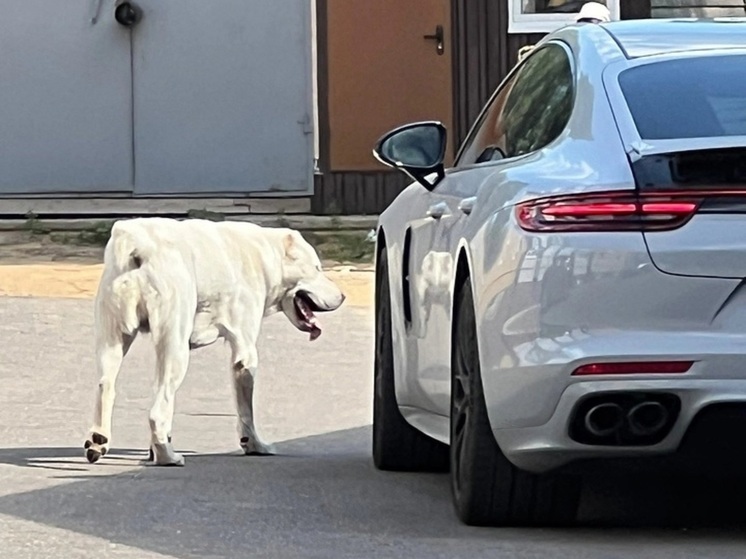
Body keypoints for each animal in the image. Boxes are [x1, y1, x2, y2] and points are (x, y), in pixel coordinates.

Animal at [85, 219, 346, 468]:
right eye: (317, 268)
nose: (343, 296)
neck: (264, 254)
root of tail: (138, 246)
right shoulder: (245, 351)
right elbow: (246, 412)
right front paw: (254, 445)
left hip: (113, 341)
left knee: (106, 386)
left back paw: (99, 440)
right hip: (174, 349)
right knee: (157, 411)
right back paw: (167, 457)